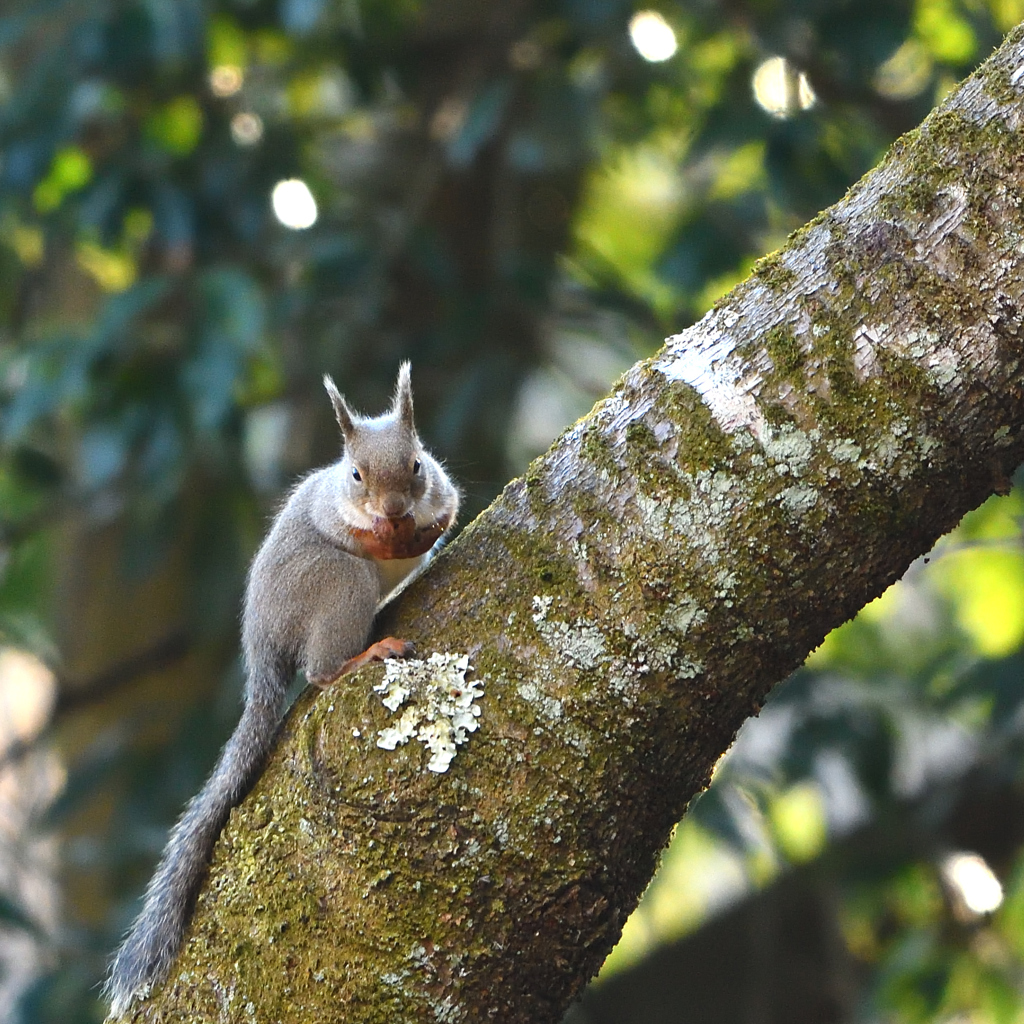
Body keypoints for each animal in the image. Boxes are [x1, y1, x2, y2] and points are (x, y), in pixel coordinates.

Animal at [102, 366, 460, 1015]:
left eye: (417, 464)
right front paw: (381, 533)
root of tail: (263, 649)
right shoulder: (330, 510)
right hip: (336, 584)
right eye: (355, 474)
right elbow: (351, 529)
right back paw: (363, 653)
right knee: (319, 669)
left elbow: (448, 512)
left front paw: (421, 530)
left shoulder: (442, 491)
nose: (394, 508)